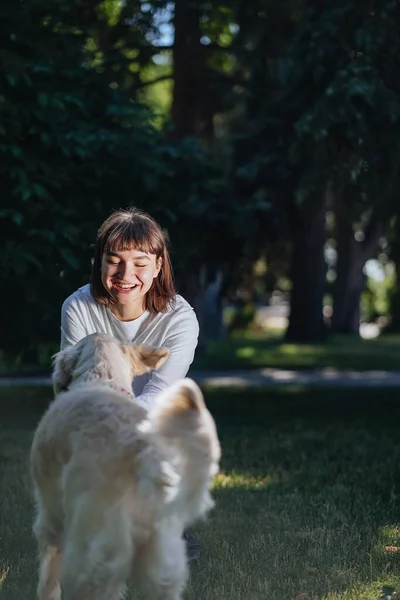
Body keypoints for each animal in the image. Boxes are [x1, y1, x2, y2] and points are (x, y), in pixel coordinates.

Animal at [29, 332, 220, 600]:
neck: (102, 378)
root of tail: (143, 455)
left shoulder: (51, 518)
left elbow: (48, 582)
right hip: (164, 564)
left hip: (90, 556)